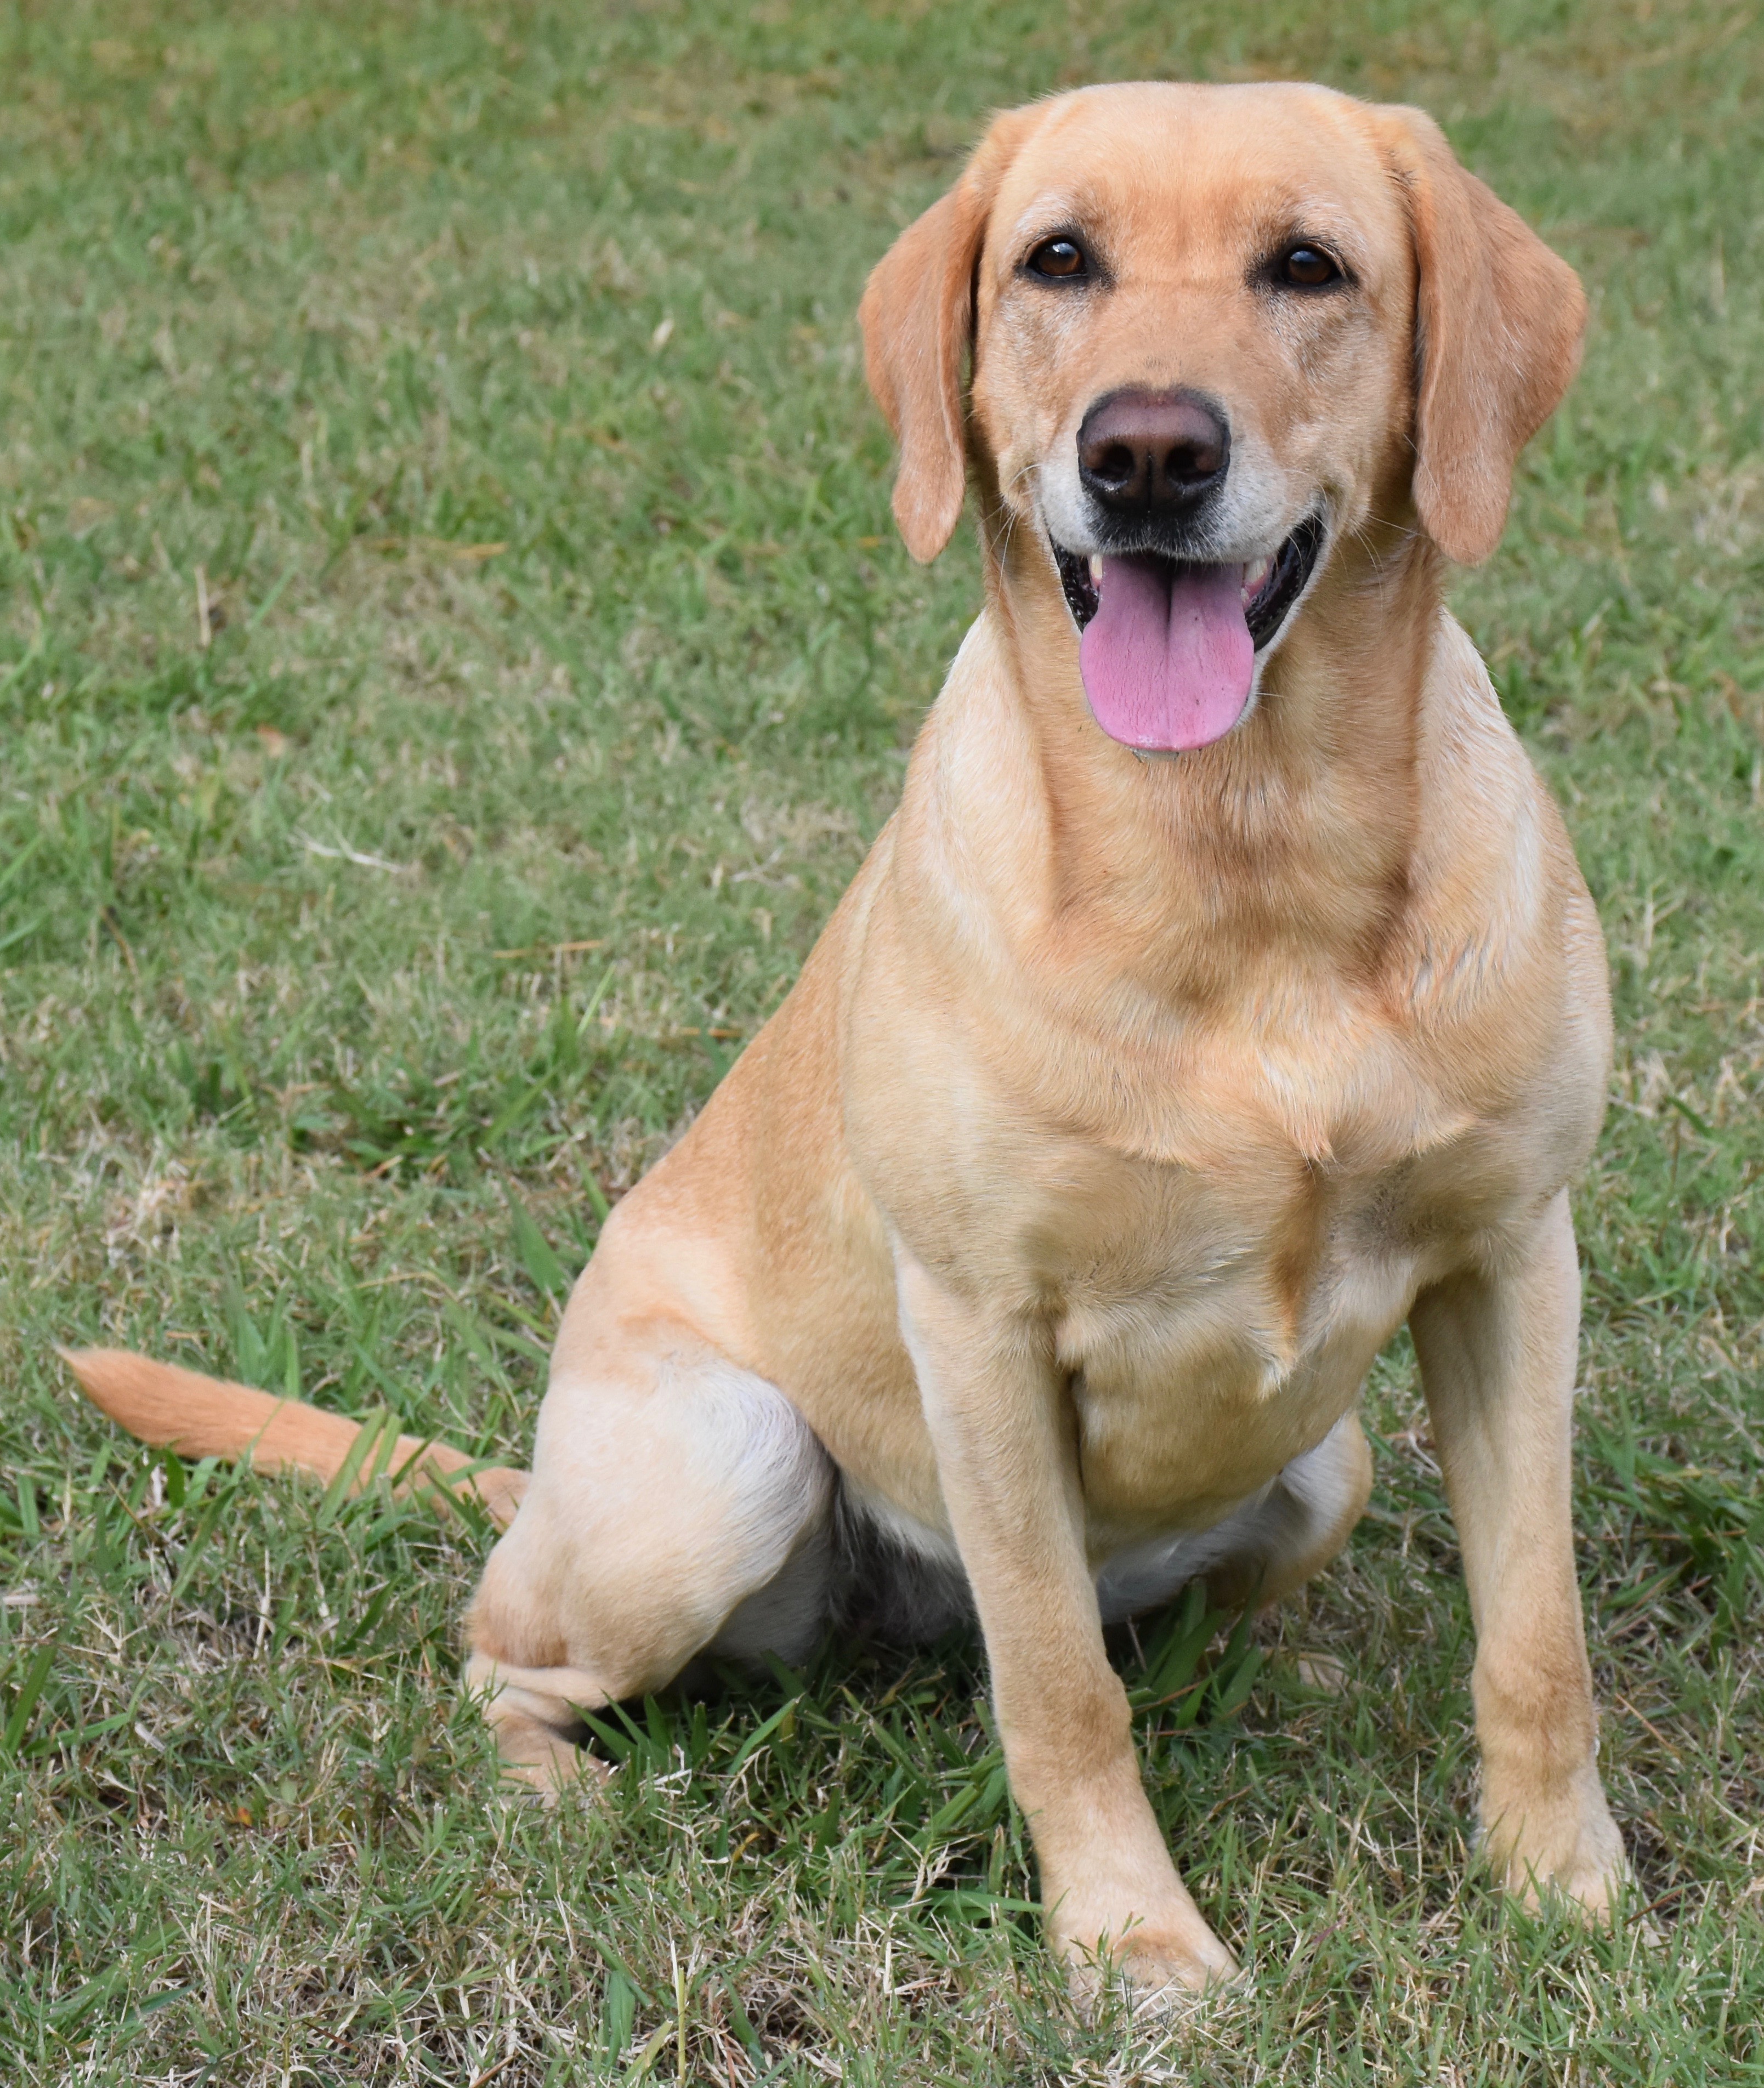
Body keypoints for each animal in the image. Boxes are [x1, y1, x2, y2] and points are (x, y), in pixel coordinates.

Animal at [72, 81, 1636, 1996]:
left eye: (1307, 267)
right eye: (1058, 258)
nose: (1145, 456)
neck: (1245, 863)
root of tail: (534, 1486)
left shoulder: (1512, 1260)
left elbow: (1537, 1638)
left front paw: (1563, 1889)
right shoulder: (976, 1326)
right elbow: (1058, 1692)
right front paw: (1133, 1946)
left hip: (1318, 1462)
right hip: (718, 1470)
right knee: (501, 1655)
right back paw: (558, 1787)